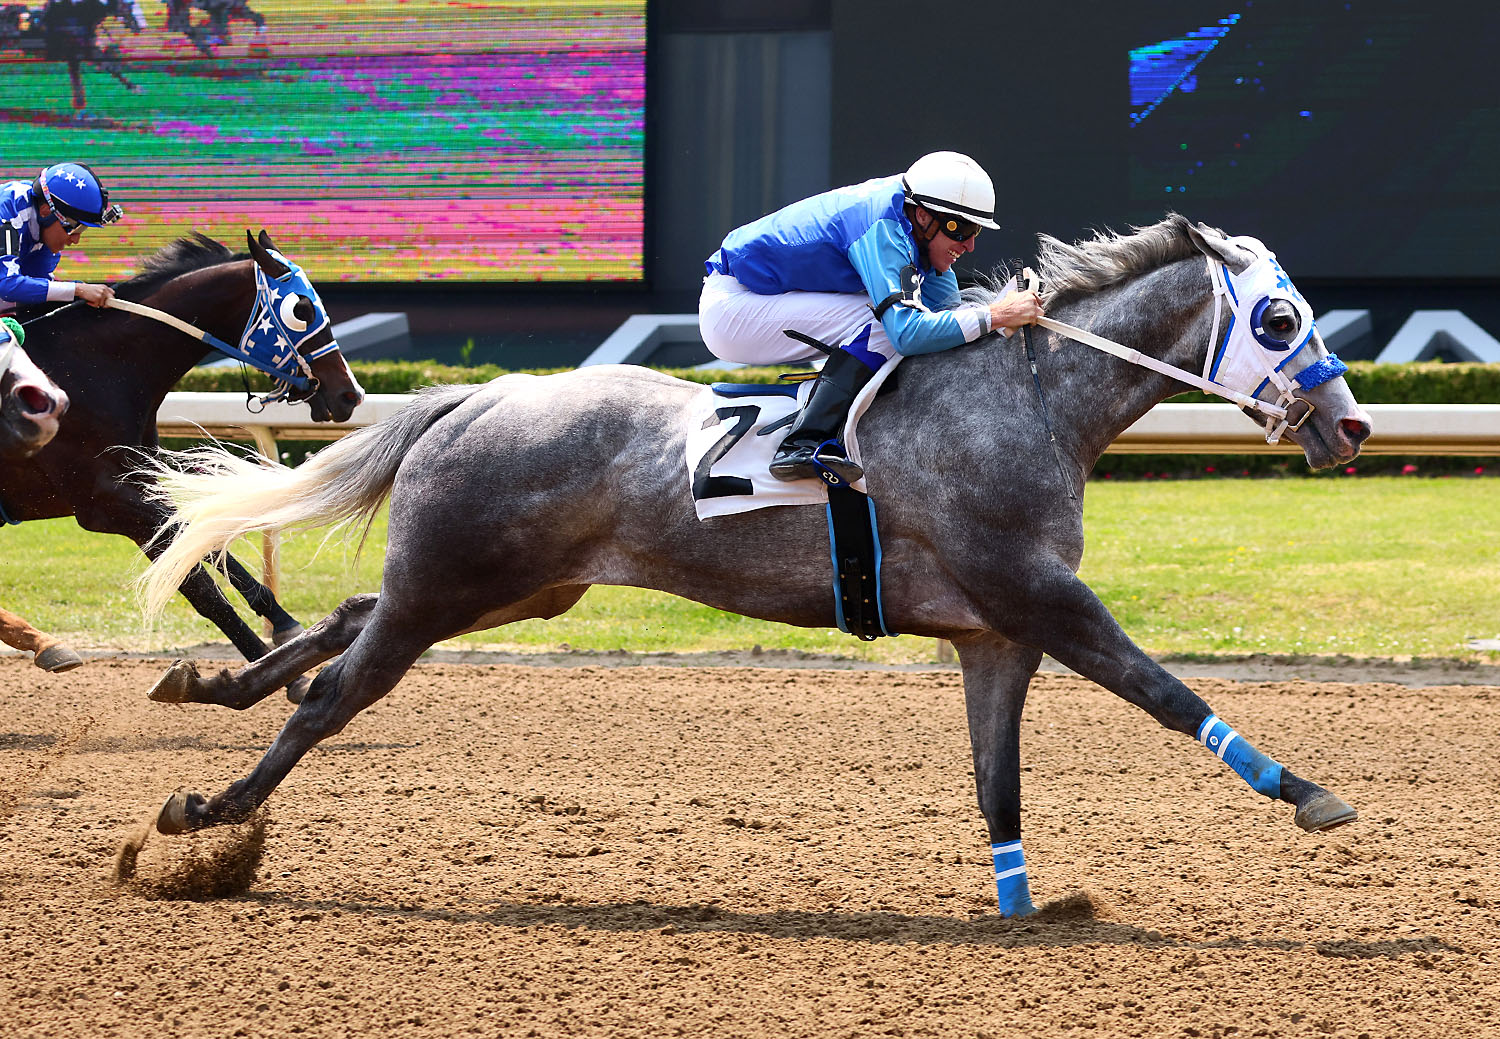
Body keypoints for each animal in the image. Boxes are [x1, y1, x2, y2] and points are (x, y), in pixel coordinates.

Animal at [1, 229, 363, 668]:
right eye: (303, 309)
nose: (350, 394)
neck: (92, 369)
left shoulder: (140, 483)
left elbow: (207, 544)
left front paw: (284, 624)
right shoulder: (107, 503)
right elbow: (203, 591)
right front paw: (274, 670)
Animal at [141, 212, 1374, 917]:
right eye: (1278, 318)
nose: (1351, 426)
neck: (1026, 401)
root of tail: (474, 397)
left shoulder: (996, 635)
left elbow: (997, 780)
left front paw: (1024, 905)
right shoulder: (1040, 597)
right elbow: (1162, 688)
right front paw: (1308, 793)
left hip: (506, 585)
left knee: (350, 609)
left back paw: (211, 679)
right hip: (457, 586)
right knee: (334, 700)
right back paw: (210, 809)